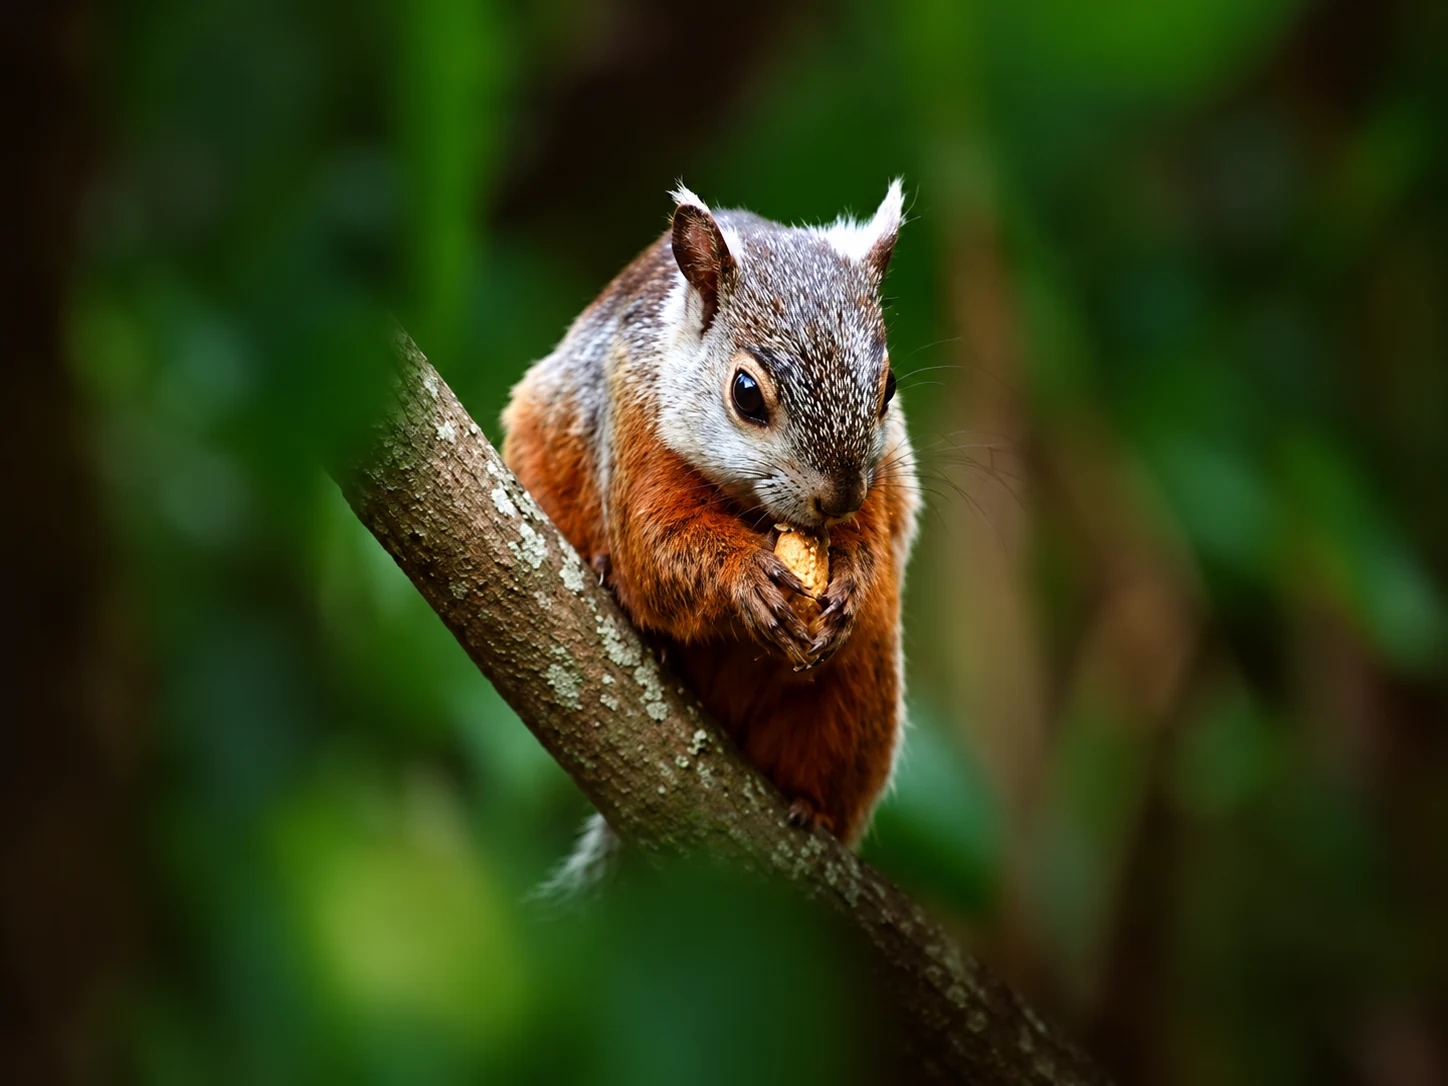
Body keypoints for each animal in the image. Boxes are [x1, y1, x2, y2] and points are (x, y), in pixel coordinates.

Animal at [502, 182, 919, 880]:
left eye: (888, 386)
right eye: (746, 392)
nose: (837, 498)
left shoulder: (884, 480)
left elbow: (876, 539)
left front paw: (853, 581)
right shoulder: (635, 421)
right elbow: (657, 546)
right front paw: (746, 580)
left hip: (859, 693)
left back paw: (812, 808)